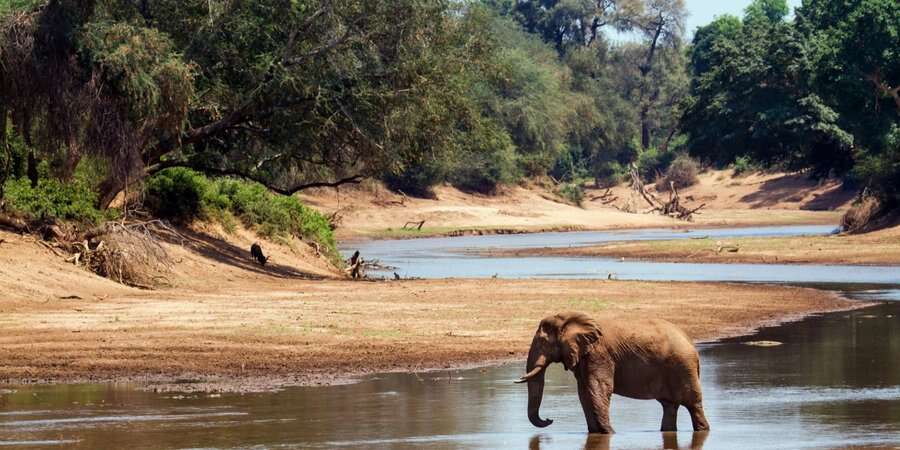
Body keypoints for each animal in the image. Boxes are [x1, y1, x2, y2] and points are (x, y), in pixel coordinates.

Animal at [516, 312, 708, 432]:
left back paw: (702, 430)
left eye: (542, 342)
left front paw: (609, 433)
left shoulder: (598, 354)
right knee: (669, 406)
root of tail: (691, 344)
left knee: (693, 404)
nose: (549, 420)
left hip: (683, 366)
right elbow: (584, 393)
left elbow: (598, 389)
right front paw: (597, 433)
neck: (569, 318)